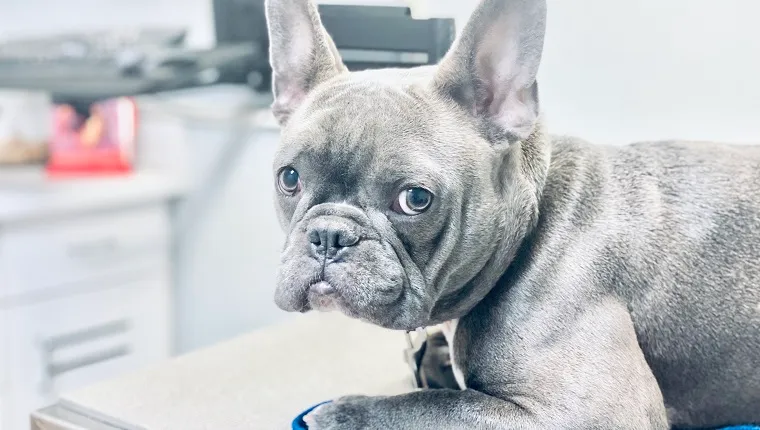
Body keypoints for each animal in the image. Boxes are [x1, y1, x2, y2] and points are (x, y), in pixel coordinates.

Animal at [264, 0, 756, 426]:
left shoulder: (590, 413)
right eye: (289, 178)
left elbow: (438, 406)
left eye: (415, 199)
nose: (329, 235)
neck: (531, 226)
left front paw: (342, 413)